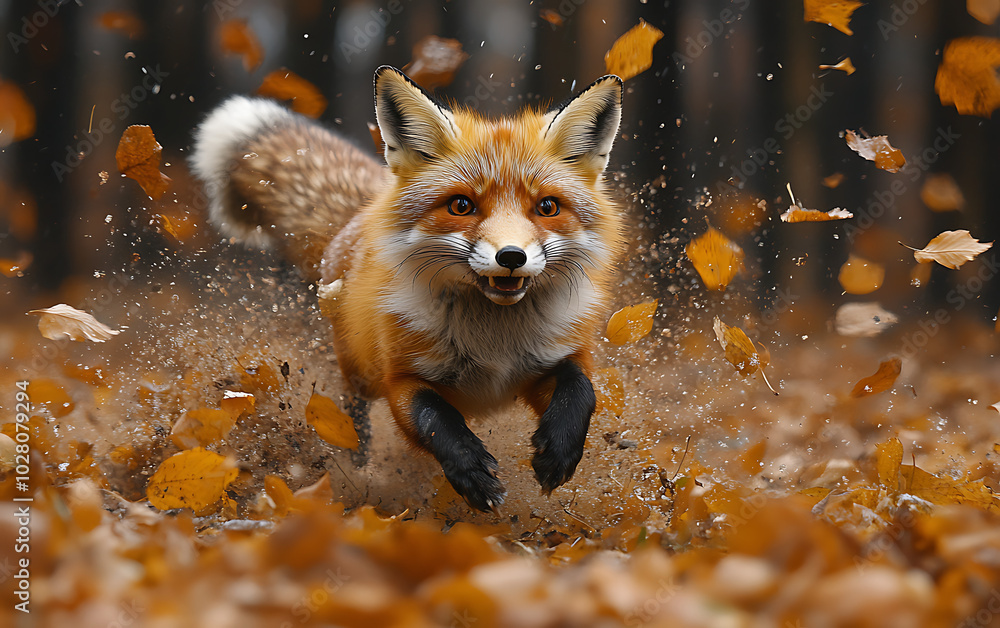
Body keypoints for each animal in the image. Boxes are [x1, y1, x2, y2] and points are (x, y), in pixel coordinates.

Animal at [191, 66, 625, 511]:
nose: (511, 256)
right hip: (360, 372)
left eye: (547, 207)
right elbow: (435, 419)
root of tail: (366, 212)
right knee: (353, 414)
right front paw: (471, 474)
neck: (494, 341)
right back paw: (357, 464)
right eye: (461, 206)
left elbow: (581, 391)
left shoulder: (551, 361)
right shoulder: (402, 378)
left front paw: (559, 452)